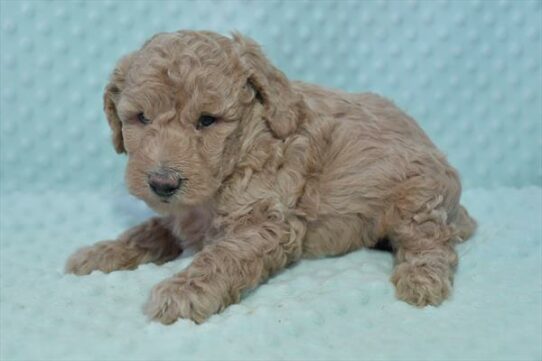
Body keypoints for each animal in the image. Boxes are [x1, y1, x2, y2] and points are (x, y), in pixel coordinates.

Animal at [66, 31, 478, 324]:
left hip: (418, 197)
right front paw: (100, 252)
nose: (162, 183)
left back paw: (422, 280)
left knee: (433, 243)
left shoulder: (266, 224)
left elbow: (221, 256)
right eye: (141, 118)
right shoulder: (181, 216)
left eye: (207, 120)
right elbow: (148, 231)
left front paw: (183, 291)